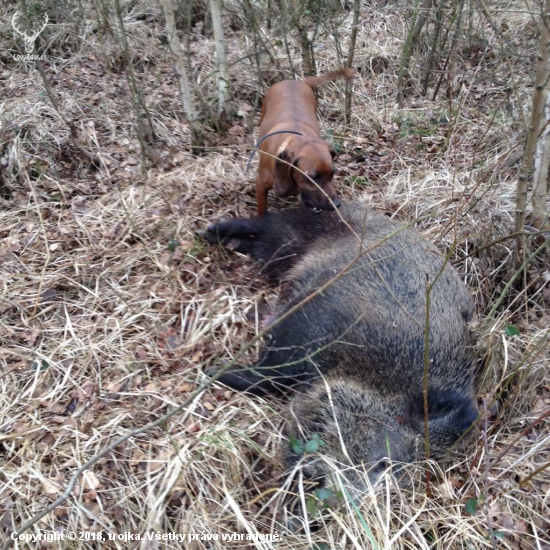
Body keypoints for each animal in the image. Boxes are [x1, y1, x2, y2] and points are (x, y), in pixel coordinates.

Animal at [256, 68, 356, 216]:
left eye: (332, 174)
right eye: (313, 178)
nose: (336, 205)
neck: (297, 139)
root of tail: (298, 81)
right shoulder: (261, 186)